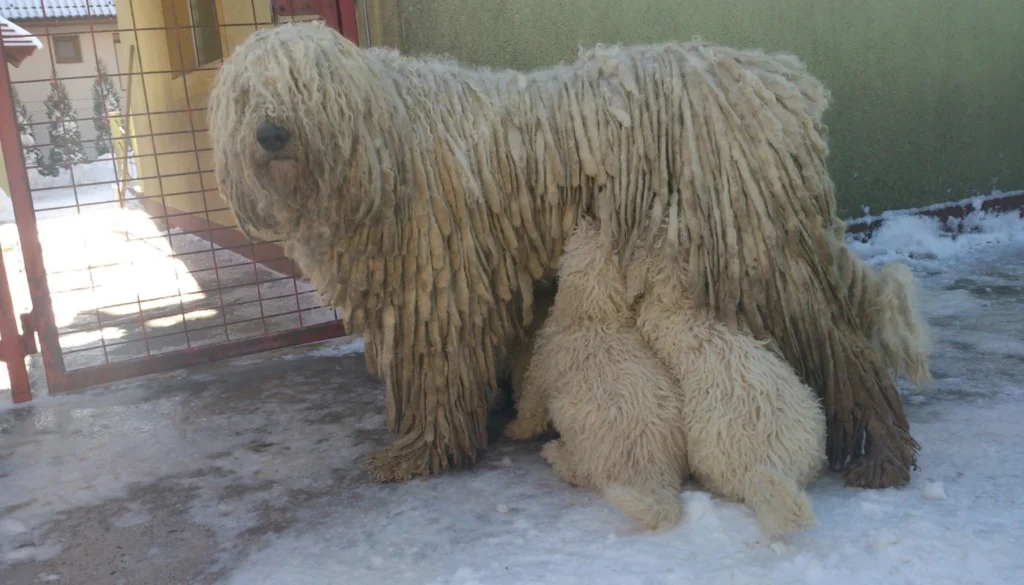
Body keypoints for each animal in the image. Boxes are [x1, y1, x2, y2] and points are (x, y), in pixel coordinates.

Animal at [205, 20, 929, 487]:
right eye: (244, 95)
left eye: (305, 86)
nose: (271, 133)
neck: (387, 147)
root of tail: (780, 82)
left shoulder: (437, 295)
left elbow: (437, 380)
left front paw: (421, 453)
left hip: (755, 251)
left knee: (846, 348)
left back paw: (881, 456)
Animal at [520, 219, 688, 532]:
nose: (589, 219)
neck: (596, 317)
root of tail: (653, 463)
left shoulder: (542, 367)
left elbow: (530, 406)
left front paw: (514, 430)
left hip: (579, 432)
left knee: (583, 473)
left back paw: (554, 453)